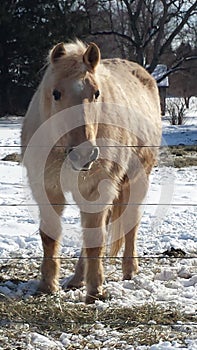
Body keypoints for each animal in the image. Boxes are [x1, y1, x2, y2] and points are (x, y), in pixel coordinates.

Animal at [21, 40, 162, 304]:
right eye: (56, 93)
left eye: (96, 93)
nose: (84, 153)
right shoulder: (47, 189)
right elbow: (50, 236)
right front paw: (47, 286)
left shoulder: (97, 189)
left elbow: (96, 240)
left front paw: (96, 290)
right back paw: (77, 279)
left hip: (137, 181)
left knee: (131, 223)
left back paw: (129, 271)